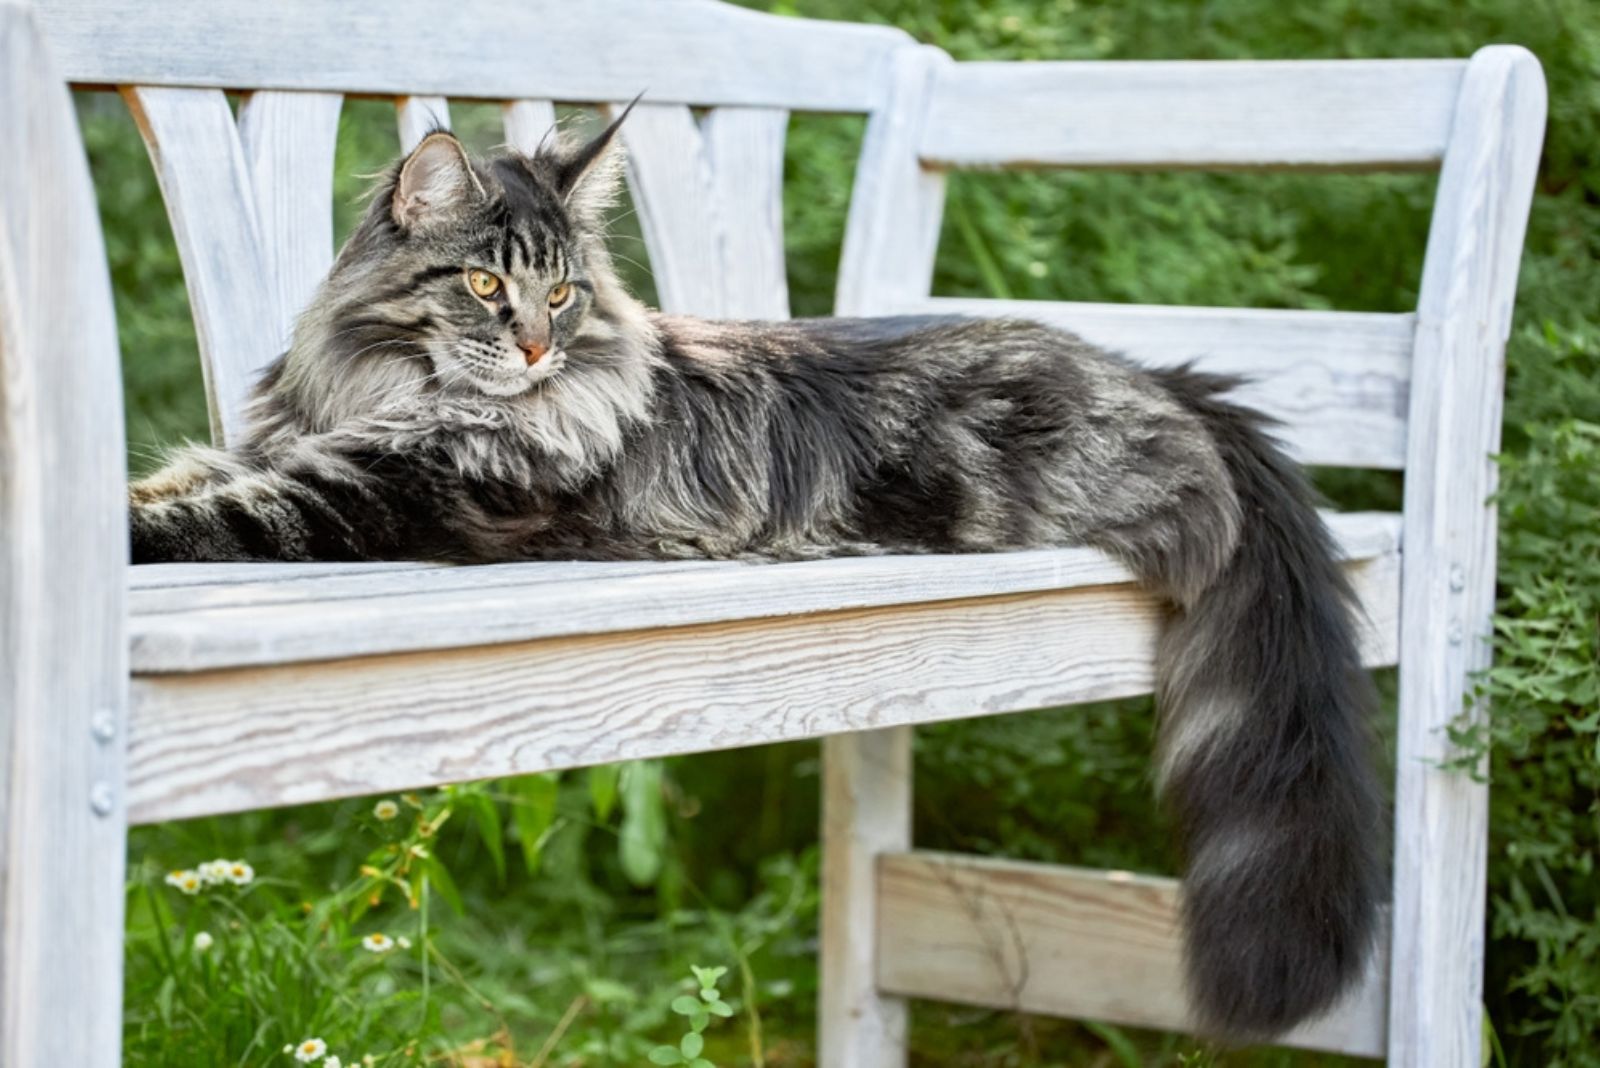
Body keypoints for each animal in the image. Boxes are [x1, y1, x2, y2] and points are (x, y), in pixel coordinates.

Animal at [134, 108, 1388, 1042]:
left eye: (562, 294)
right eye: (486, 288)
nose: (537, 347)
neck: (384, 391)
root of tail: (1163, 376)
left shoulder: (369, 498)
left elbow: (192, 521)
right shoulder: (279, 456)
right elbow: (171, 483)